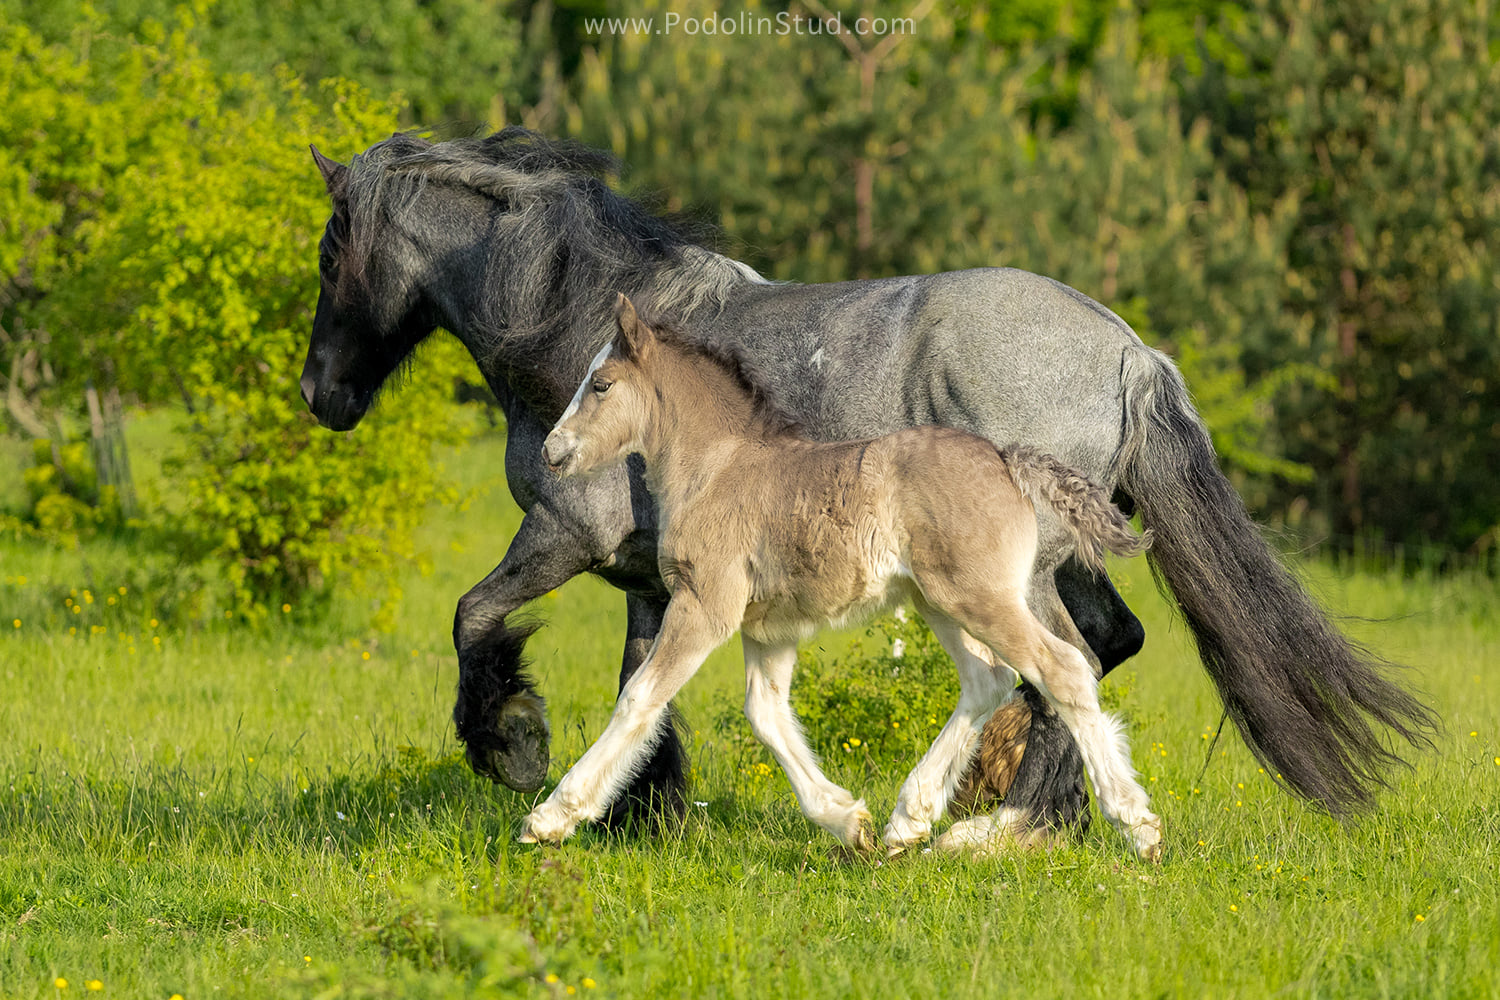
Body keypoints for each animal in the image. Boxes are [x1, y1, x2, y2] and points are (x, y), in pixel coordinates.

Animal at [525, 295, 1158, 863]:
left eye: (601, 384)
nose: (552, 450)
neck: (718, 466)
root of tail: (1007, 459)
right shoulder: (768, 628)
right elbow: (767, 715)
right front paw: (847, 821)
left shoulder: (705, 603)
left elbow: (640, 696)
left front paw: (553, 817)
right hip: (938, 602)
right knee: (988, 679)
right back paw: (908, 821)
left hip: (979, 598)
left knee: (1065, 668)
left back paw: (1136, 826)